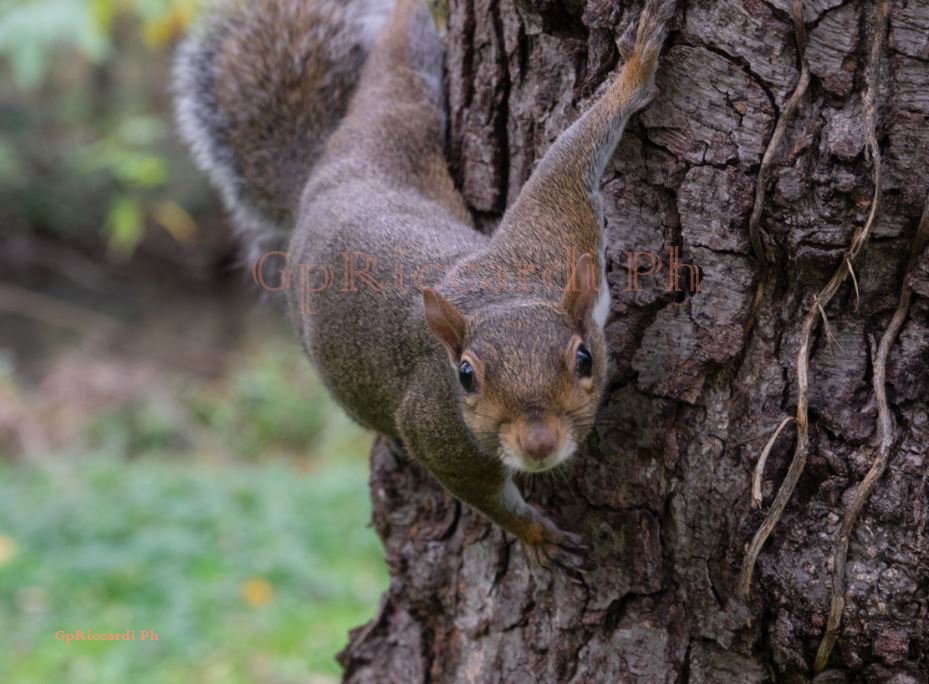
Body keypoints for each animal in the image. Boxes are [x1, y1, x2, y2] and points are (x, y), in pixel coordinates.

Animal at [175, 0, 675, 572]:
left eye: (585, 359)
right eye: (465, 377)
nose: (538, 445)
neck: (501, 297)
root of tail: (315, 188)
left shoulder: (553, 241)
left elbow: (568, 161)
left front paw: (634, 70)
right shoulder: (436, 432)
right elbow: (483, 495)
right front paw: (533, 534)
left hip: (394, 116)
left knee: (399, 53)